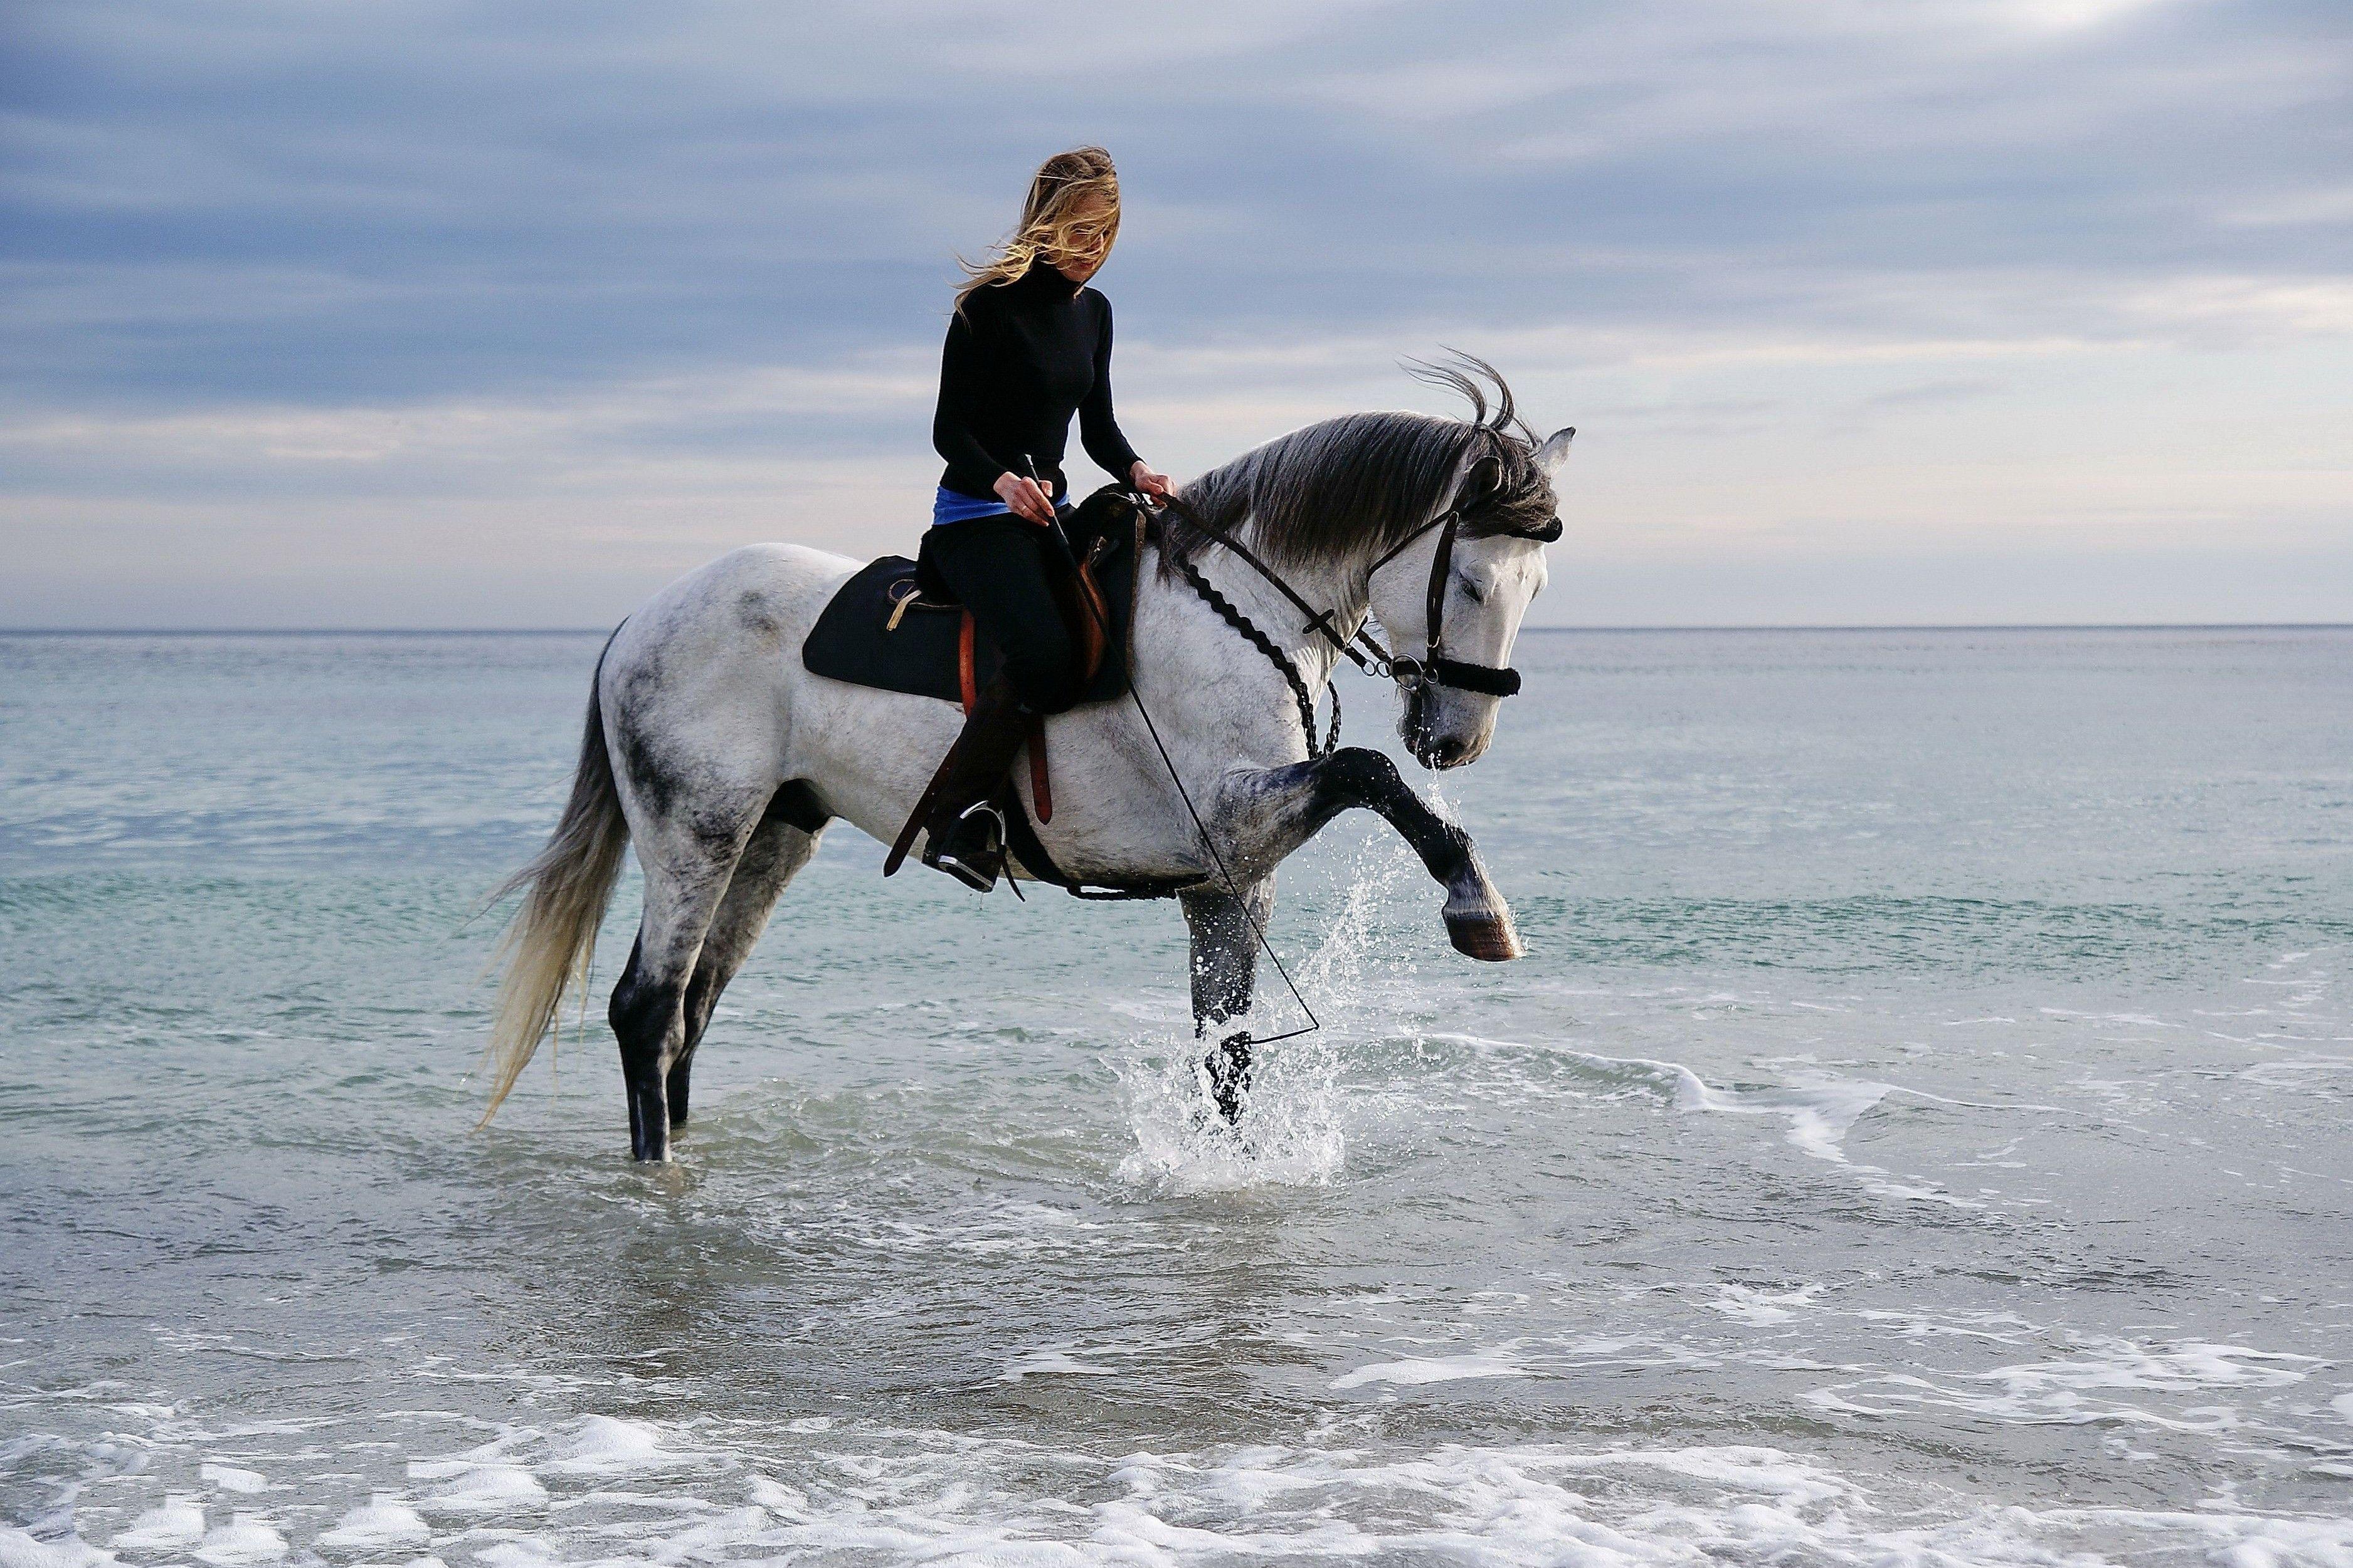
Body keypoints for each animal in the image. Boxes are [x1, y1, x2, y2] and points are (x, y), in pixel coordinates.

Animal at [479, 361, 1572, 1161]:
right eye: (1474, 581)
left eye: (1538, 585)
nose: (1457, 738)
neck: (1238, 609)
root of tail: (642, 616)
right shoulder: (1233, 815)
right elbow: (1372, 776)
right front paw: (1476, 901)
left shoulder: (1230, 880)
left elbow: (1226, 1055)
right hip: (695, 829)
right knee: (649, 1008)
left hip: (771, 834)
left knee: (694, 1005)